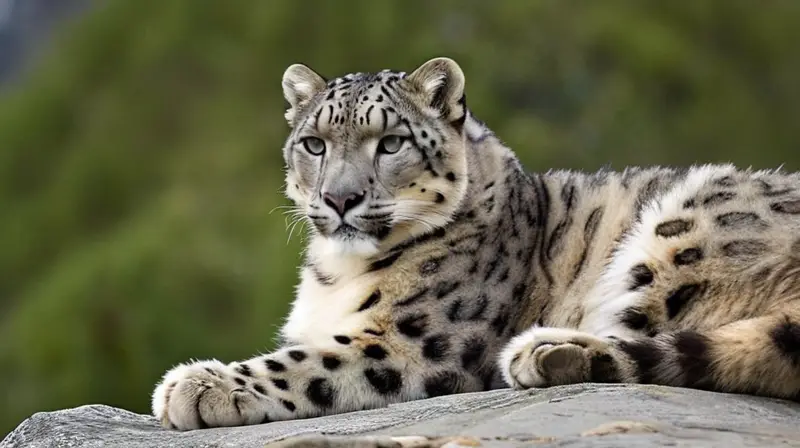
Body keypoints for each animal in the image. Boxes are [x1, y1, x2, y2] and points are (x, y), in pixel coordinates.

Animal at [150, 57, 800, 430]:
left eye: (390, 142)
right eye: (314, 144)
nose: (339, 198)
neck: (335, 272)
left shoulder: (412, 342)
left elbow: (306, 362)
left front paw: (196, 385)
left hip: (683, 227)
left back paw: (543, 350)